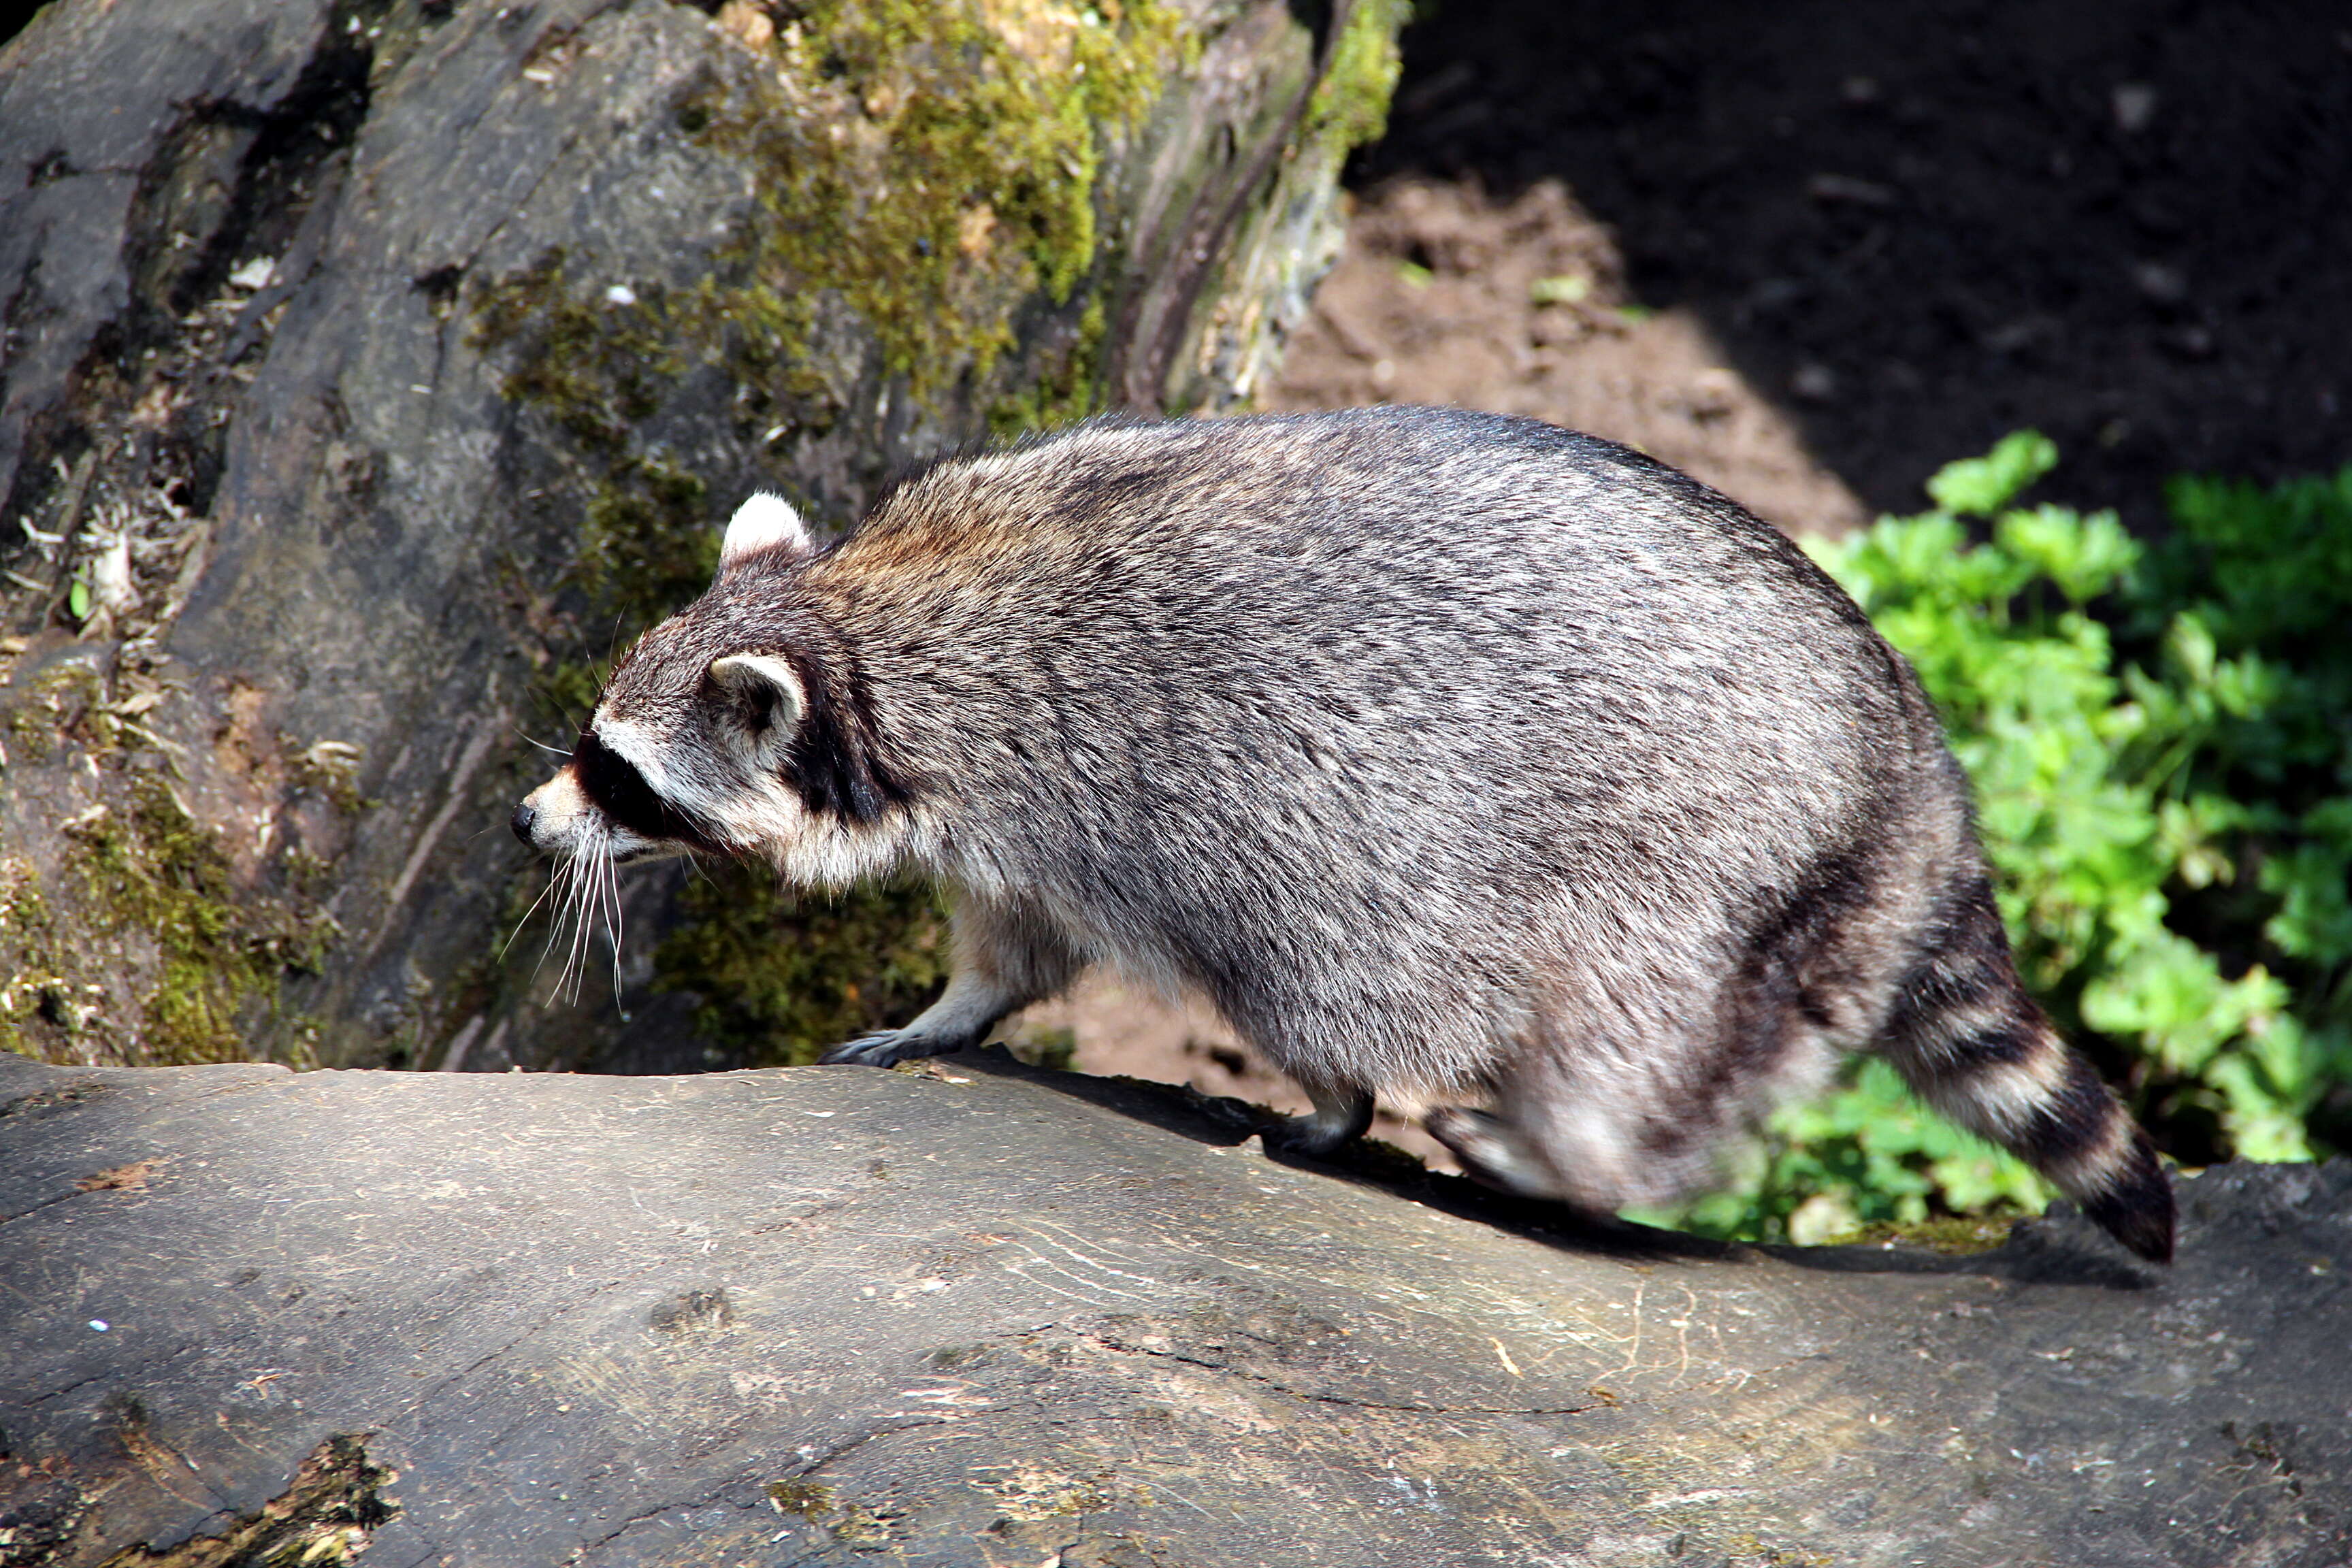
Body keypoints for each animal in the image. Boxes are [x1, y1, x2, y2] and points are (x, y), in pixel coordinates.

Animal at [519, 404, 2183, 1260]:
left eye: (620, 776)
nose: (534, 821)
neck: (866, 629)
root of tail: (1917, 784)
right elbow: (1014, 943)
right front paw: (952, 1007)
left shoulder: (1131, 794)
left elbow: (1307, 975)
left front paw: (1331, 1102)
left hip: (1696, 869)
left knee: (1620, 1042)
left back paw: (1569, 1150)